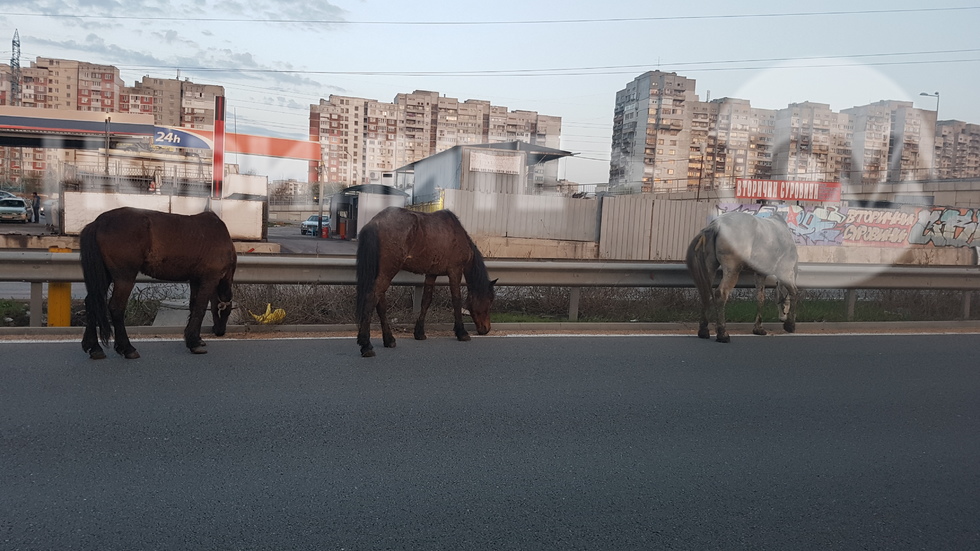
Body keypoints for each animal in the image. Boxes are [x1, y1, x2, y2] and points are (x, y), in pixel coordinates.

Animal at [80, 206, 237, 358]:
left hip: (104, 276)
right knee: (116, 307)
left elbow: (193, 307)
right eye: (228, 311)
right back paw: (128, 348)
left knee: (92, 302)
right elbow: (200, 308)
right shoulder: (209, 280)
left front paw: (196, 339)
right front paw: (193, 342)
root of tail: (99, 222)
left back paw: (95, 348)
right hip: (124, 278)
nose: (220, 331)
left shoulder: (195, 280)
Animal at [354, 207, 498, 358]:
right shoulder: (455, 271)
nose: (486, 329)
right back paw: (366, 345)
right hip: (387, 271)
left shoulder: (431, 273)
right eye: (490, 301)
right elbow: (456, 300)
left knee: (380, 304)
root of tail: (374, 223)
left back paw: (389, 339)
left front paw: (419, 332)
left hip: (382, 272)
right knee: (372, 298)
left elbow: (426, 301)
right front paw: (461, 332)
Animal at [684, 210, 800, 342]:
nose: (782, 318)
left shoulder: (760, 274)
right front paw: (790, 325)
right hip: (733, 270)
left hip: (710, 267)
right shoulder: (785, 272)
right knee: (721, 294)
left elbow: (760, 298)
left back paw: (704, 331)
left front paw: (758, 328)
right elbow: (794, 293)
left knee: (705, 293)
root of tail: (715, 225)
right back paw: (722, 334)